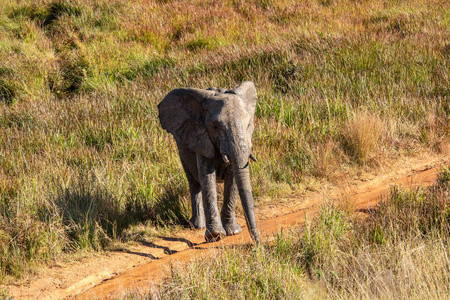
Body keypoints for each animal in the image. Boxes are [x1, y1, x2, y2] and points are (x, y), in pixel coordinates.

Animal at [158, 81, 260, 243]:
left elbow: (233, 177)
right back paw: (197, 226)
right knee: (194, 182)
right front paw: (215, 235)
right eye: (215, 126)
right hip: (183, 149)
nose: (257, 243)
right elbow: (207, 177)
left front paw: (233, 231)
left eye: (249, 124)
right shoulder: (201, 138)